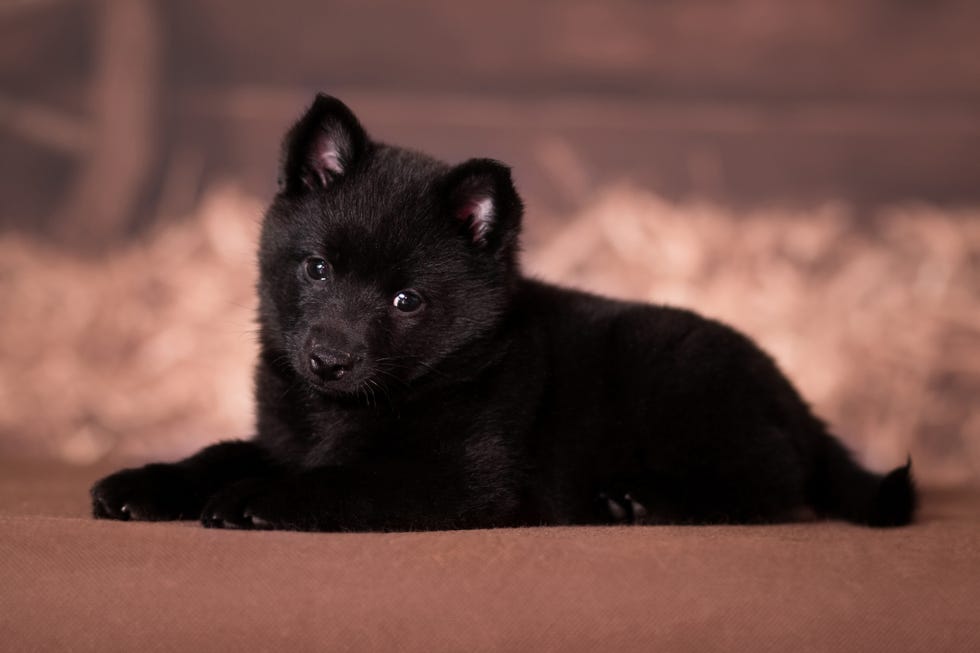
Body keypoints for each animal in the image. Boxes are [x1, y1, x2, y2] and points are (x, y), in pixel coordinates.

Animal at [88, 93, 916, 528]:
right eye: (317, 267)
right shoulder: (285, 437)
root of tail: (795, 396)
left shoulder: (465, 477)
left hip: (693, 394)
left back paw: (641, 498)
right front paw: (142, 482)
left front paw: (257, 499)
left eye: (406, 300)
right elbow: (220, 451)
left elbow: (347, 480)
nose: (328, 358)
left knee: (772, 485)